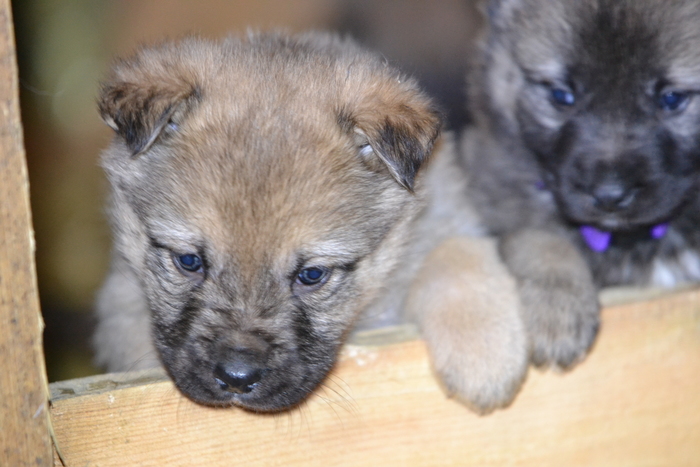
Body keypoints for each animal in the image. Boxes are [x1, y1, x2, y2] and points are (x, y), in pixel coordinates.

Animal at [93, 31, 524, 413]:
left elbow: (458, 257)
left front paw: (482, 355)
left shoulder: (446, 223)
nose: (236, 377)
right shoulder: (122, 298)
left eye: (312, 274)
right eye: (188, 261)